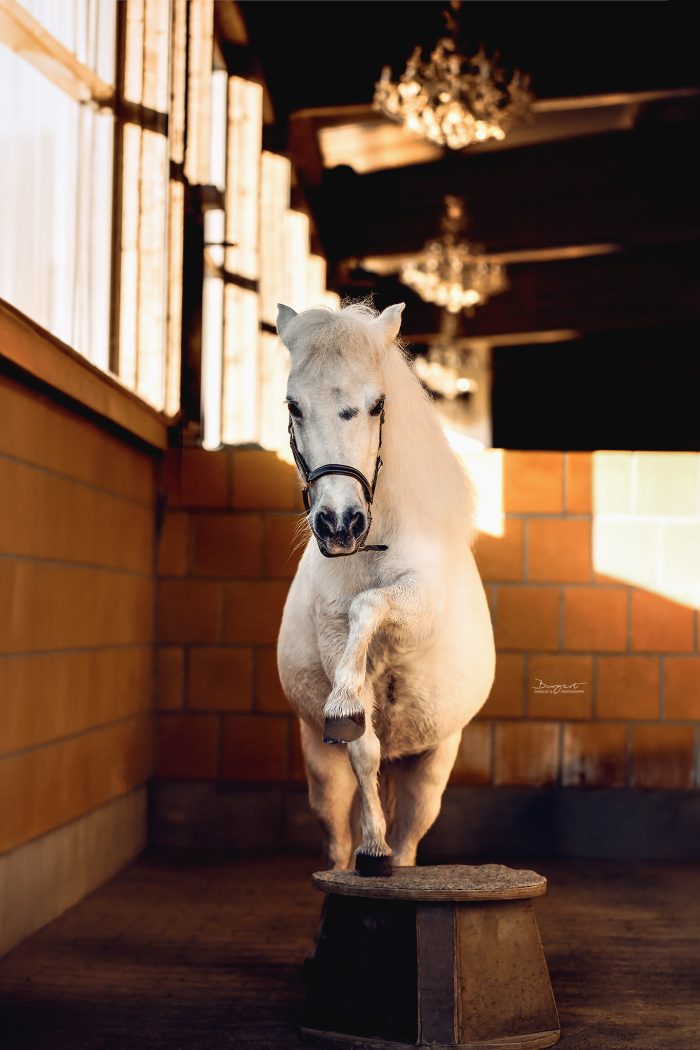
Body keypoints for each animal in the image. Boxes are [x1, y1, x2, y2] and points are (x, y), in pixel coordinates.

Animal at [277, 300, 495, 873]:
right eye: (293, 405)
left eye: (376, 405)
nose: (338, 524)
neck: (372, 545)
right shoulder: (332, 630)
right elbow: (362, 743)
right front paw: (372, 846)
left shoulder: (421, 602)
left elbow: (371, 603)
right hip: (319, 765)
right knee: (337, 839)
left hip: (431, 766)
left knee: (411, 842)